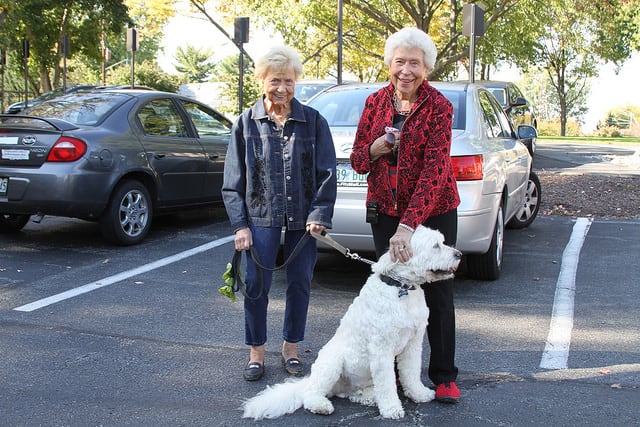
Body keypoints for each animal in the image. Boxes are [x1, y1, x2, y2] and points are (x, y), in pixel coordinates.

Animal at [241, 227, 460, 422]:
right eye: (435, 246)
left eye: (442, 242)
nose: (458, 254)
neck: (401, 288)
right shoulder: (381, 350)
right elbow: (387, 383)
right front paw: (392, 409)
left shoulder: (413, 344)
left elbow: (411, 373)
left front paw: (419, 394)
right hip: (332, 363)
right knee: (311, 394)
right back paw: (321, 405)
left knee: (354, 394)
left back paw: (369, 398)